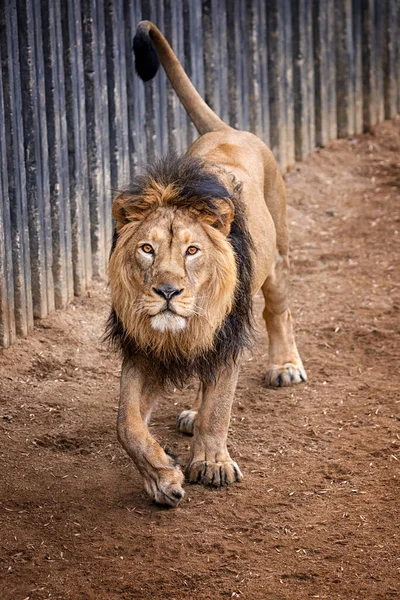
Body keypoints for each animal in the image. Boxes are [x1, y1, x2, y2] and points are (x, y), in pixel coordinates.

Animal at [105, 19, 306, 506]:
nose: (167, 292)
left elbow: (221, 408)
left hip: (277, 260)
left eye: (192, 250)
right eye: (147, 249)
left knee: (279, 311)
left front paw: (212, 464)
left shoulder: (226, 336)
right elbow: (126, 425)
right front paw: (163, 478)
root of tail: (228, 128)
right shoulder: (142, 347)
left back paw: (285, 367)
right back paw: (191, 415)